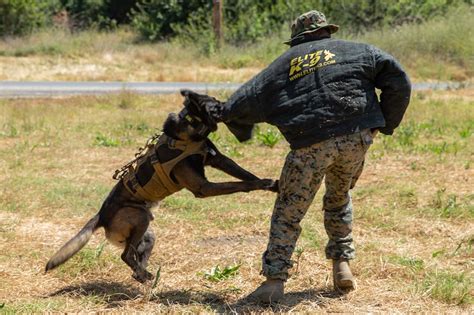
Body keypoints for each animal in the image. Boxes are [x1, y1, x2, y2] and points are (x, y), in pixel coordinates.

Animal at [44, 89, 278, 284]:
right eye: (216, 105)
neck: (189, 133)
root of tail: (101, 215)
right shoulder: (204, 187)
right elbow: (238, 183)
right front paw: (261, 183)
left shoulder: (220, 160)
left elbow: (244, 173)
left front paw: (273, 185)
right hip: (140, 216)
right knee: (126, 255)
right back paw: (144, 274)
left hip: (148, 235)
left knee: (135, 257)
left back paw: (142, 275)